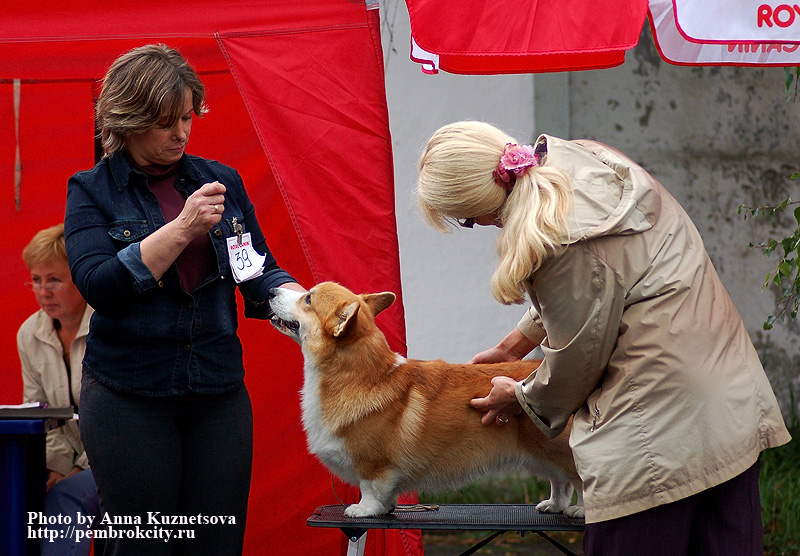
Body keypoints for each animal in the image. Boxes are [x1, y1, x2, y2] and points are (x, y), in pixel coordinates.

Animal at [268, 284, 580, 520]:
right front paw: (387, 507)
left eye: (308, 298)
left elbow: (370, 488)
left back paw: (578, 510)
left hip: (560, 449)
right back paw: (555, 505)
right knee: (560, 481)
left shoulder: (373, 464)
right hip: (541, 453)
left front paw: (363, 510)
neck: (359, 375)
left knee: (579, 477)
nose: (270, 289)